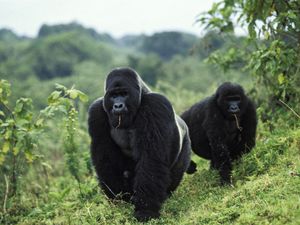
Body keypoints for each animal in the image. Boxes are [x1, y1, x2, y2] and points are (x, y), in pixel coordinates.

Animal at [87, 67, 190, 221]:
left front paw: (145, 210)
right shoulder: (96, 112)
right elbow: (105, 160)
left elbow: (151, 159)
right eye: (113, 96)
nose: (118, 105)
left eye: (124, 94)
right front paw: (118, 200)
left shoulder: (156, 105)